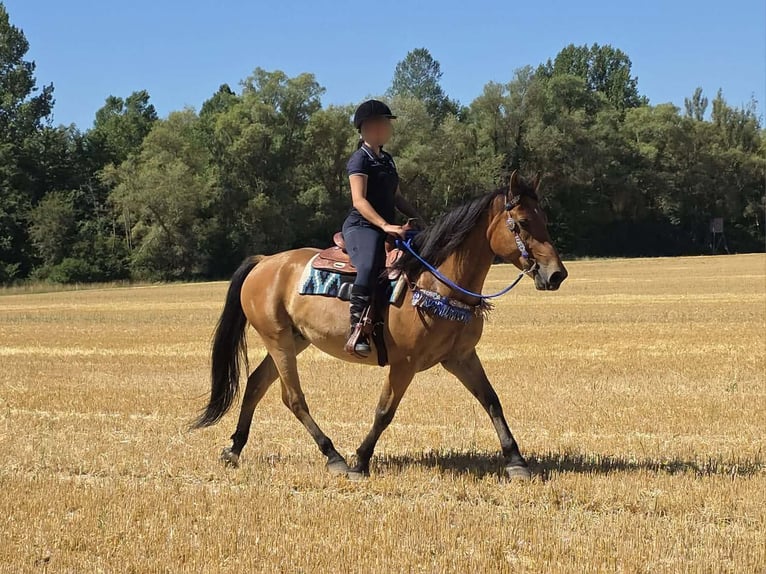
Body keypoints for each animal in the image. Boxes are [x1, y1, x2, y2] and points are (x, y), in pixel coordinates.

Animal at [193, 171, 568, 480]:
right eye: (521, 222)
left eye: (544, 219)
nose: (556, 274)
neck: (434, 281)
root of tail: (265, 262)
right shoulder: (404, 363)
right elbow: (385, 410)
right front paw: (360, 460)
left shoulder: (461, 357)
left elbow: (491, 401)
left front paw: (516, 461)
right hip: (278, 340)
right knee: (293, 397)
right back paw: (333, 456)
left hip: (294, 339)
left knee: (257, 384)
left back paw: (234, 449)